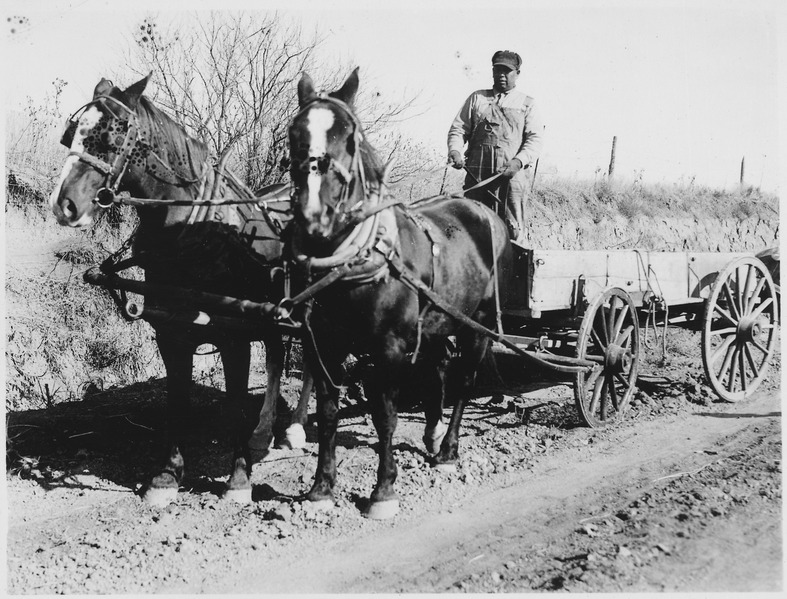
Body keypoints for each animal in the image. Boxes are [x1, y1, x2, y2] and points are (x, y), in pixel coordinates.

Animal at [48, 75, 314, 506]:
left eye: (111, 136)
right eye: (71, 135)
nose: (63, 206)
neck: (195, 233)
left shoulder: (233, 336)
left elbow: (234, 404)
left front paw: (239, 480)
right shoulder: (170, 334)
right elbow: (176, 403)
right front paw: (166, 476)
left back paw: (295, 429)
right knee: (277, 357)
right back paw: (264, 432)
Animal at [288, 69, 510, 520]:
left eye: (349, 136)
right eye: (292, 133)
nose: (313, 215)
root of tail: (486, 211)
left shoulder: (388, 348)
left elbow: (384, 415)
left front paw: (384, 490)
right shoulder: (324, 344)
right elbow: (328, 412)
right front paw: (321, 488)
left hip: (476, 323)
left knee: (463, 381)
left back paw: (448, 450)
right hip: (438, 322)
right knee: (438, 370)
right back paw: (431, 434)